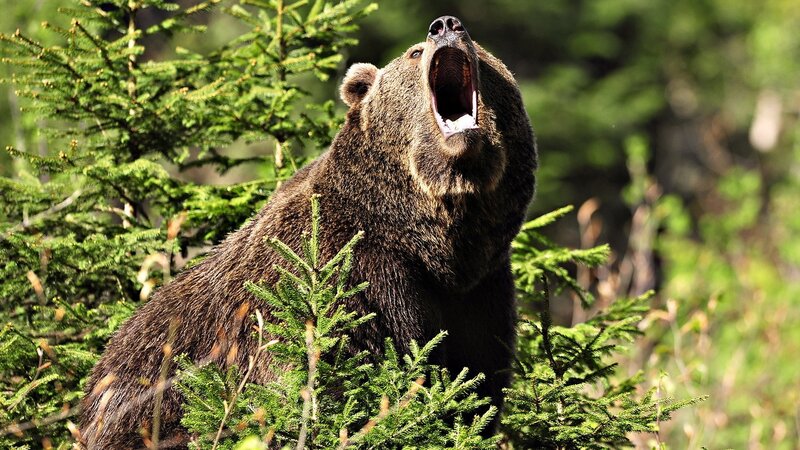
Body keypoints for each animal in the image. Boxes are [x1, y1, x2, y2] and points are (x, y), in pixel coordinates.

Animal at [80, 15, 536, 448]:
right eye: (414, 52)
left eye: (481, 50)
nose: (446, 25)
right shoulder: (340, 272)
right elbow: (333, 378)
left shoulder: (479, 294)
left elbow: (472, 386)